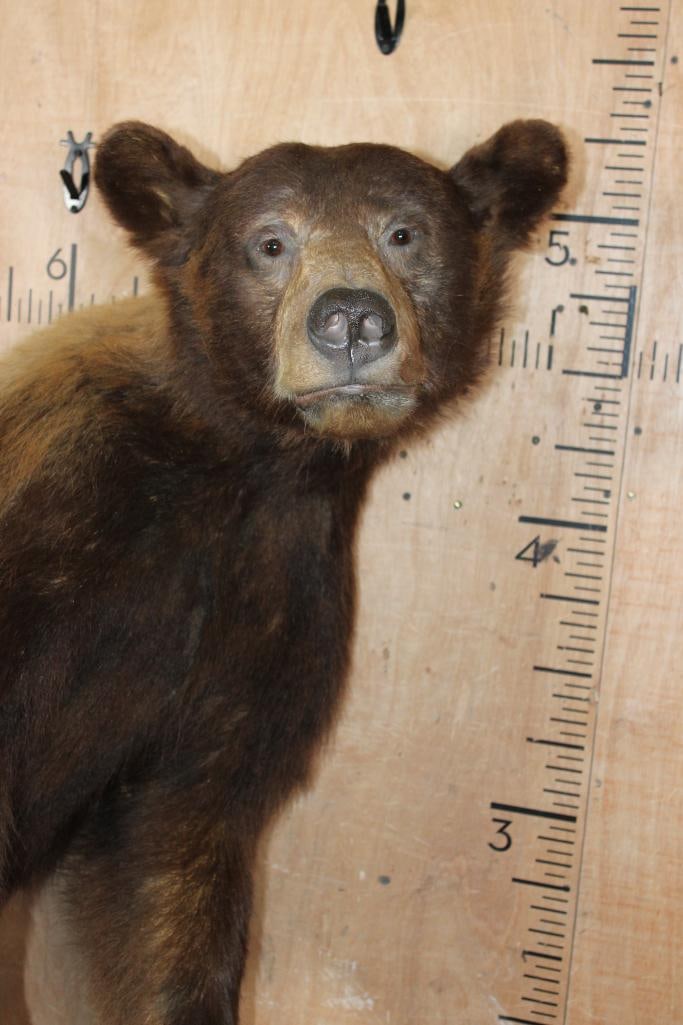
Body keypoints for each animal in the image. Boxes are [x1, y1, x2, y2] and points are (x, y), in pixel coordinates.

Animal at [0, 119, 567, 1024]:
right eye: (269, 241)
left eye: (403, 233)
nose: (350, 320)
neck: (248, 463)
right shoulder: (58, 504)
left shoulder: (270, 603)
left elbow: (174, 862)